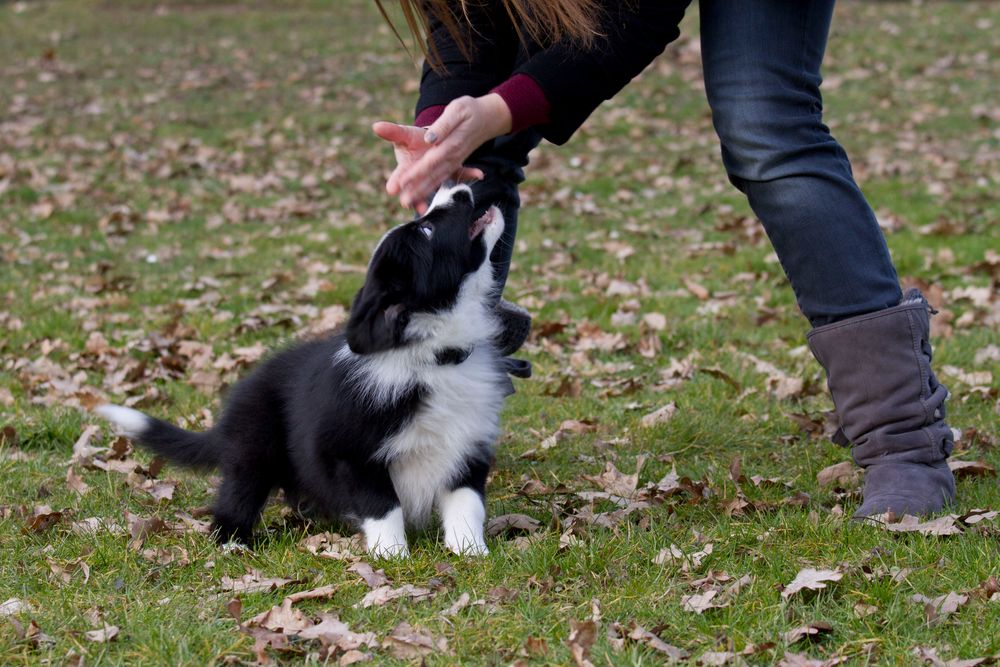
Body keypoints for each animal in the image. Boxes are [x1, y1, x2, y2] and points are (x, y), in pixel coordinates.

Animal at [97, 184, 512, 560]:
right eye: (425, 229)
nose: (458, 187)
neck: (434, 356)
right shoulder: (350, 453)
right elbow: (383, 504)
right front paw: (392, 556)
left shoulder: (467, 445)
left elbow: (466, 502)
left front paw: (471, 551)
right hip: (255, 446)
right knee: (239, 493)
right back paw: (232, 543)